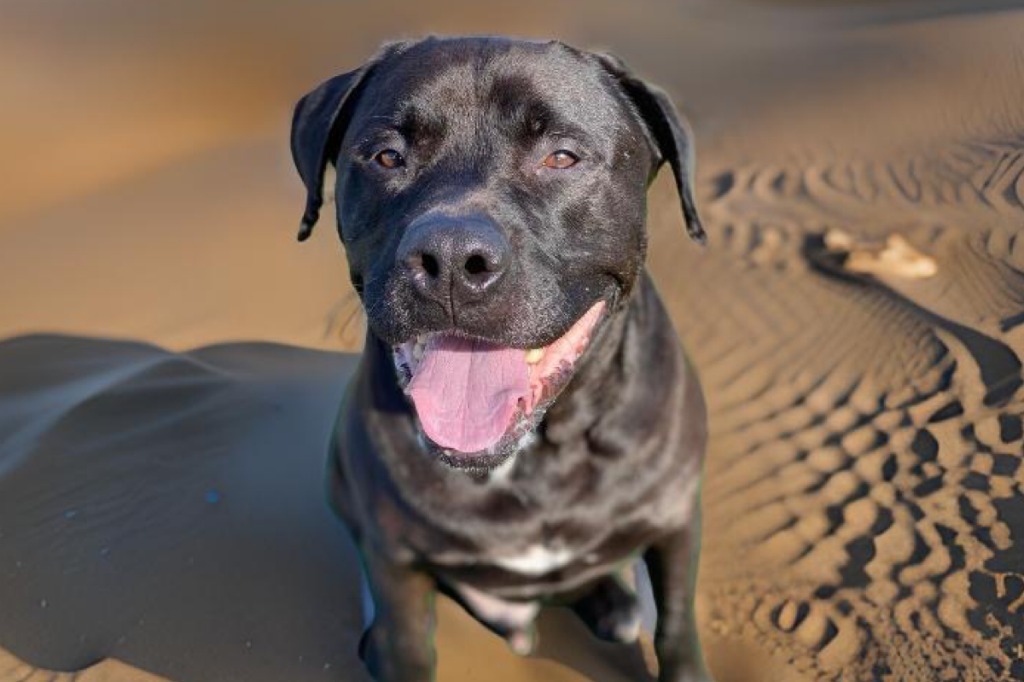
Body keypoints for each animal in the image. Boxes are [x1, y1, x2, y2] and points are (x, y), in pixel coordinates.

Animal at [288, 35, 704, 679]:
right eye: (387, 156)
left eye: (562, 157)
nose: (452, 260)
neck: (534, 454)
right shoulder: (395, 560)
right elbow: (407, 645)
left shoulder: (676, 519)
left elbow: (678, 631)